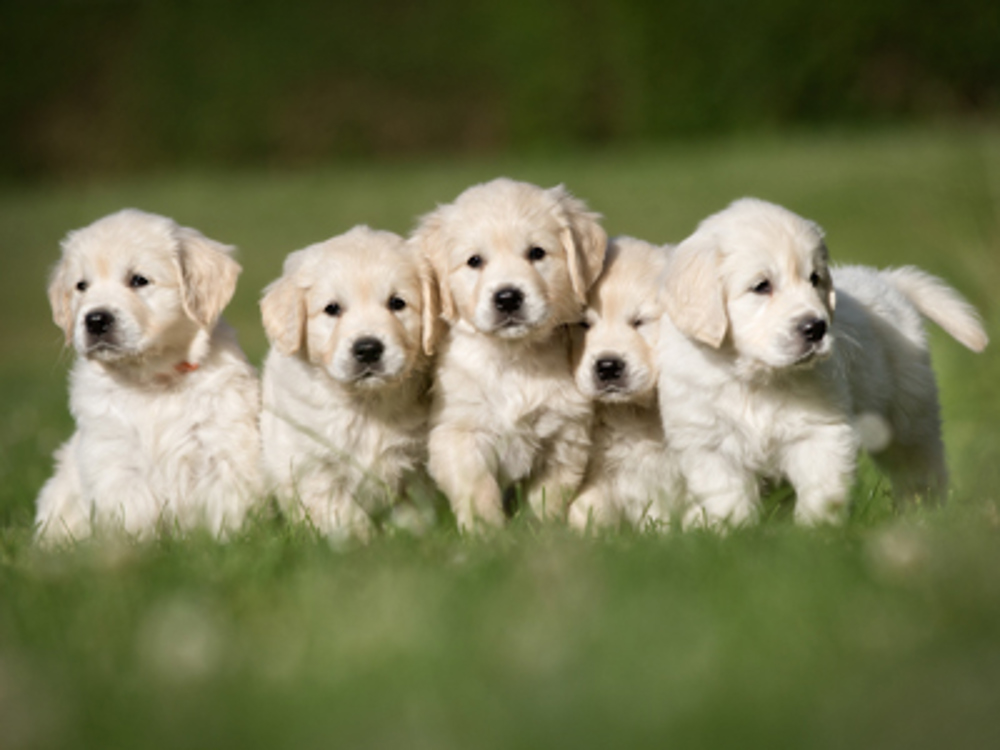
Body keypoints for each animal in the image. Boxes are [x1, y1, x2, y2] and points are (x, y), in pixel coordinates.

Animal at [35, 209, 264, 544]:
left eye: (139, 280)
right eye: (81, 286)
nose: (96, 319)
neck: (153, 381)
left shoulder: (222, 449)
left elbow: (226, 511)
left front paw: (228, 543)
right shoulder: (115, 458)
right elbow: (131, 517)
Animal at [258, 225, 438, 540]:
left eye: (397, 303)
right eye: (332, 309)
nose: (367, 349)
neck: (367, 403)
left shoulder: (416, 465)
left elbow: (413, 515)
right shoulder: (313, 464)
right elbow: (342, 516)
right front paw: (360, 542)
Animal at [412, 177, 604, 532]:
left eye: (537, 253)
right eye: (475, 261)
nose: (508, 298)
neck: (514, 358)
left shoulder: (564, 435)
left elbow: (547, 495)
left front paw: (540, 531)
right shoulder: (458, 430)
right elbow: (477, 488)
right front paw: (487, 534)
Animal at [660, 198, 988, 528]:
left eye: (814, 279)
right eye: (762, 286)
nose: (816, 328)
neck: (757, 379)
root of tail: (884, 278)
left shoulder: (820, 431)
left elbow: (822, 490)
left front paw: (816, 531)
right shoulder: (709, 444)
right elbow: (727, 498)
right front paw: (731, 531)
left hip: (907, 416)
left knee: (920, 468)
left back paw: (927, 515)